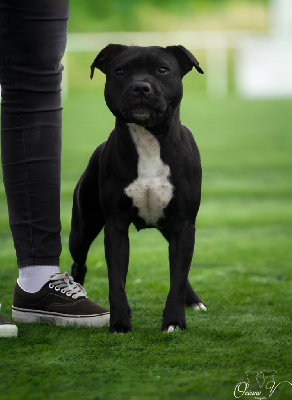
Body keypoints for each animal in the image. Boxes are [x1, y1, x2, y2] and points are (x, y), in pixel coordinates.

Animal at [70, 43, 208, 332]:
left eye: (163, 70)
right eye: (120, 71)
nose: (141, 87)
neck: (148, 141)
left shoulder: (183, 224)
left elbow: (178, 276)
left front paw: (174, 321)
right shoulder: (116, 226)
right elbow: (116, 280)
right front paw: (120, 322)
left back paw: (193, 300)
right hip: (82, 229)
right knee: (79, 261)